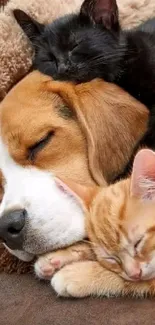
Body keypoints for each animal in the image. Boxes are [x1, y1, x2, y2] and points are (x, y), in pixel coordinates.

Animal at [35, 149, 155, 296]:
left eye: (138, 242)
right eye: (111, 258)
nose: (135, 274)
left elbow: (133, 281)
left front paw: (79, 274)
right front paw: (60, 257)